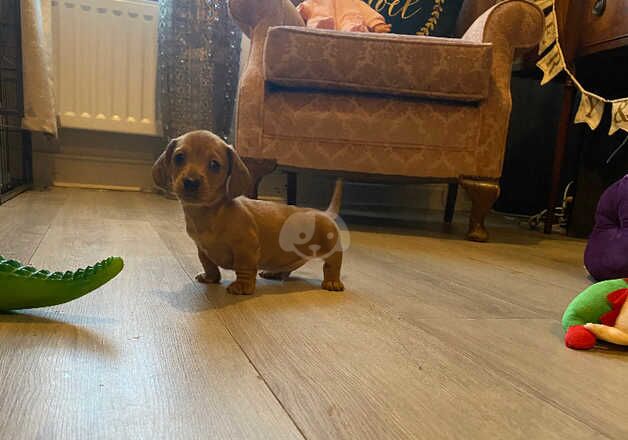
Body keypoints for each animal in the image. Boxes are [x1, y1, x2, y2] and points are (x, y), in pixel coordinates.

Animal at [154, 131, 346, 296]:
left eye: (214, 165)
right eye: (179, 157)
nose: (191, 182)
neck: (212, 214)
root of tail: (324, 213)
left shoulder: (246, 247)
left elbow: (244, 268)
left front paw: (242, 286)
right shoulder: (202, 249)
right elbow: (208, 264)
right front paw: (210, 278)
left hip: (331, 248)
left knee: (333, 265)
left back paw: (332, 282)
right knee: (288, 267)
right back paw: (275, 273)